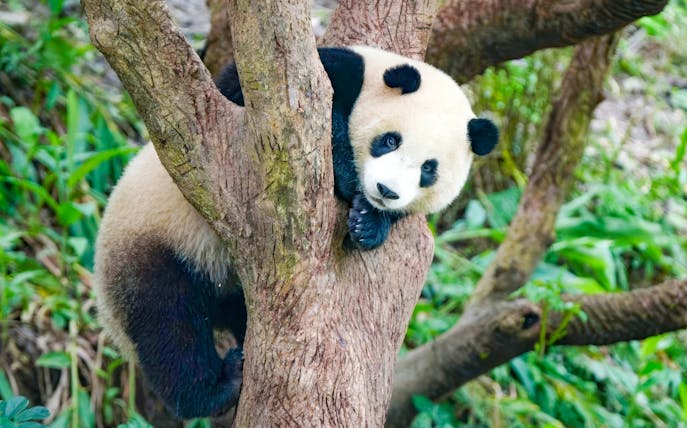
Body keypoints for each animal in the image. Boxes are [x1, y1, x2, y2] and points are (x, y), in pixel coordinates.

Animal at [94, 46, 498, 419]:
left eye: (429, 169)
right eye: (389, 140)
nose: (386, 190)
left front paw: (370, 223)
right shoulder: (323, 76)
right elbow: (256, 97)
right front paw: (347, 178)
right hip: (155, 247)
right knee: (169, 326)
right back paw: (218, 387)